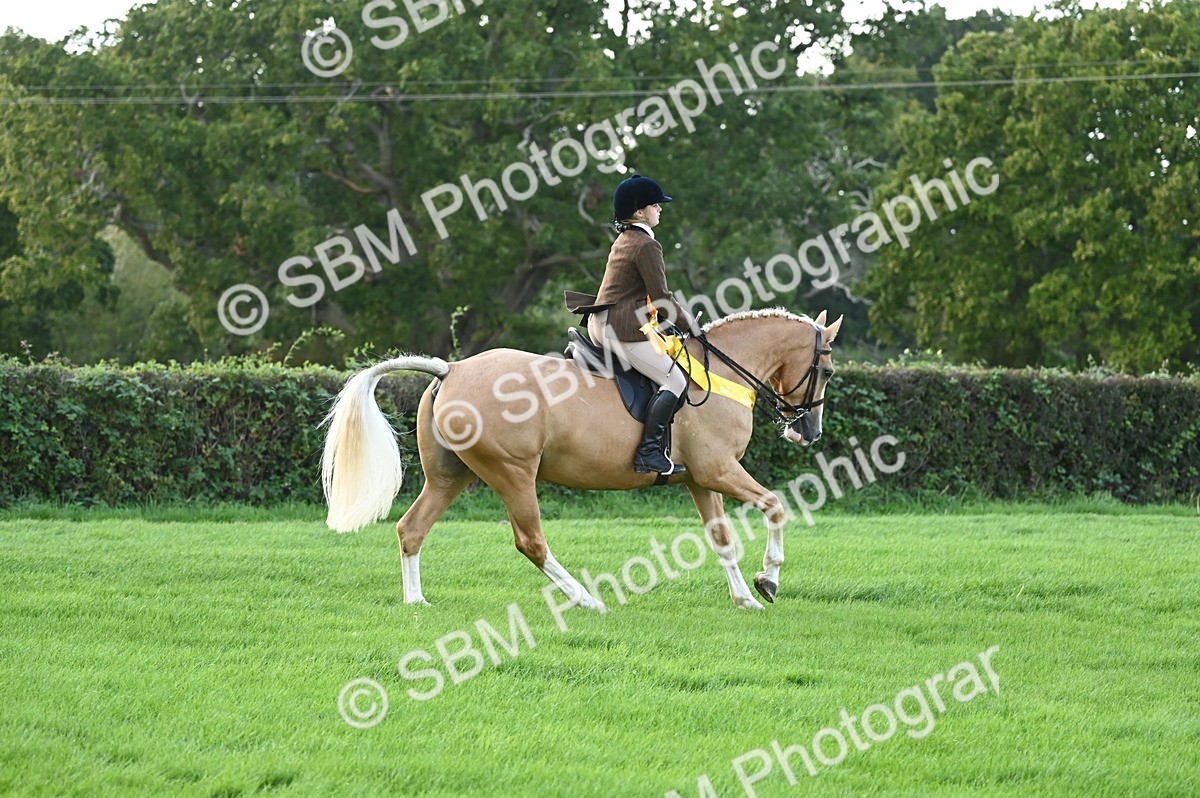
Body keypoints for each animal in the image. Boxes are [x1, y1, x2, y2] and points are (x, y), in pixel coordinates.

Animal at [320, 308, 843, 611]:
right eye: (828, 370)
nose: (808, 431)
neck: (721, 373)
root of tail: (450, 369)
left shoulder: (701, 480)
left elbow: (722, 540)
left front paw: (744, 598)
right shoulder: (720, 471)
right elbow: (775, 506)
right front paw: (768, 580)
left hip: (452, 476)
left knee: (412, 529)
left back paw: (416, 602)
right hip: (512, 473)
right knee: (530, 541)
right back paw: (587, 599)